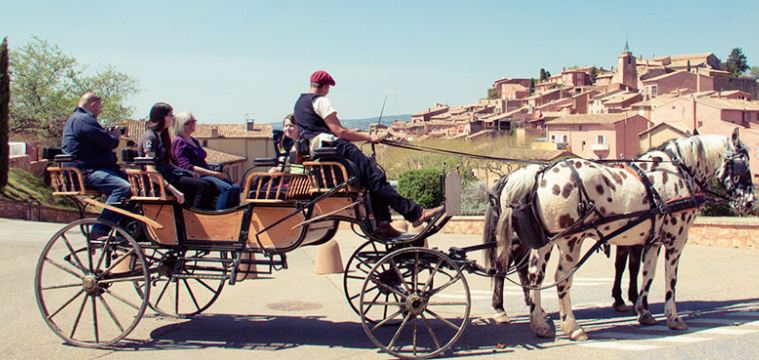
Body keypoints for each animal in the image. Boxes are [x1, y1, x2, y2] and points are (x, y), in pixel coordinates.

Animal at [486, 130, 756, 340]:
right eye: (744, 165)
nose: (750, 202)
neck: (678, 172)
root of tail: (538, 175)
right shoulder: (676, 241)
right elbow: (670, 280)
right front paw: (673, 317)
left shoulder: (652, 241)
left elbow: (647, 274)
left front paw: (643, 311)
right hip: (570, 241)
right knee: (559, 279)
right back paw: (571, 326)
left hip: (544, 242)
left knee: (534, 276)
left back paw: (539, 323)